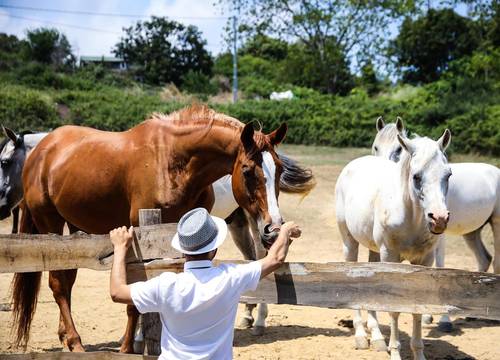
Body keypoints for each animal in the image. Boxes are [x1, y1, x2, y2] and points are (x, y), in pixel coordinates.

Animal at [12, 104, 290, 352]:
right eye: (247, 171)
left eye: (279, 169)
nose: (273, 228)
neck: (173, 162)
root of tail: (42, 149)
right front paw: (128, 346)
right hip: (50, 223)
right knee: (58, 283)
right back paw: (75, 341)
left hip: (74, 226)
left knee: (67, 280)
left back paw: (66, 338)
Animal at [338, 129, 452, 360]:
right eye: (416, 176)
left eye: (448, 175)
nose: (439, 219)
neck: (411, 217)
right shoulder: (391, 257)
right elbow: (394, 308)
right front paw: (395, 353)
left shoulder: (424, 260)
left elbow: (416, 308)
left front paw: (419, 354)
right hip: (350, 243)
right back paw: (361, 336)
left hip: (375, 253)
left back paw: (377, 338)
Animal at [374, 118, 498, 332]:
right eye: (376, 146)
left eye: (398, 149)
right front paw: (428, 317)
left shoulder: (440, 232)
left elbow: (439, 265)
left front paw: (443, 320)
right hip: (473, 232)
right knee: (484, 259)